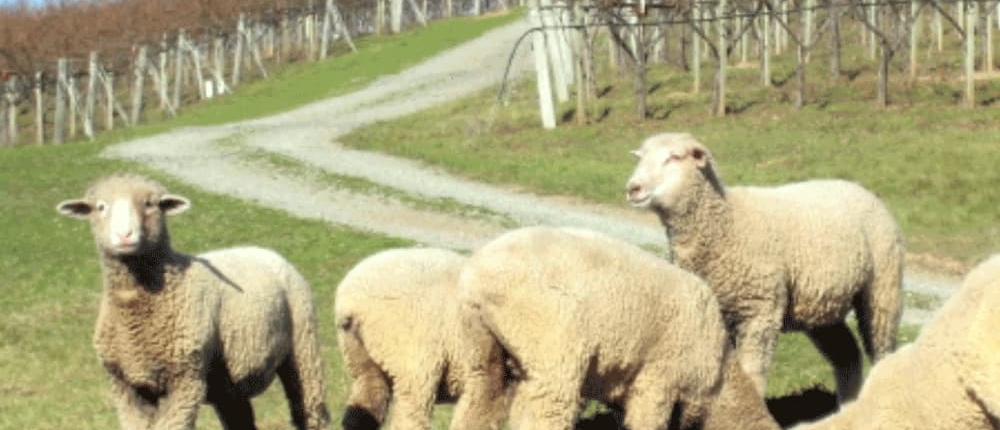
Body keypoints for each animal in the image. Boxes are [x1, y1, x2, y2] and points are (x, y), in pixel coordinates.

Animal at [56, 174, 329, 430]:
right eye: (100, 207)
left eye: (150, 204)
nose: (124, 235)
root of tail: (266, 252)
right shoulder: (126, 386)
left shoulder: (185, 378)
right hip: (227, 385)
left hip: (303, 348)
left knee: (310, 411)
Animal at [334, 247, 512, 430]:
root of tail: (350, 303)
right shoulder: (487, 373)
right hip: (414, 361)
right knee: (409, 416)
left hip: (360, 360)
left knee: (363, 405)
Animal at [624, 132, 904, 402]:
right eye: (641, 157)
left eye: (674, 157)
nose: (633, 188)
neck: (727, 222)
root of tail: (857, 187)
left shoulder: (761, 312)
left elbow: (752, 373)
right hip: (822, 305)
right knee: (847, 356)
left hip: (882, 291)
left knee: (882, 352)